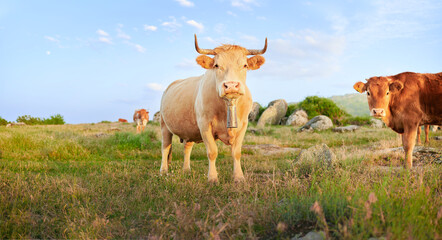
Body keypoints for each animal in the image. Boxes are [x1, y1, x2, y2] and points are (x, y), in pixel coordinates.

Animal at [161, 34, 268, 182]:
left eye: (245, 65)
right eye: (217, 65)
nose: (231, 85)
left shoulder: (244, 125)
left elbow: (236, 152)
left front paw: (239, 177)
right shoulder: (204, 124)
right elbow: (212, 152)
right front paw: (212, 178)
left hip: (188, 130)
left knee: (187, 147)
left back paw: (186, 170)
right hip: (164, 125)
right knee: (165, 148)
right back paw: (163, 171)